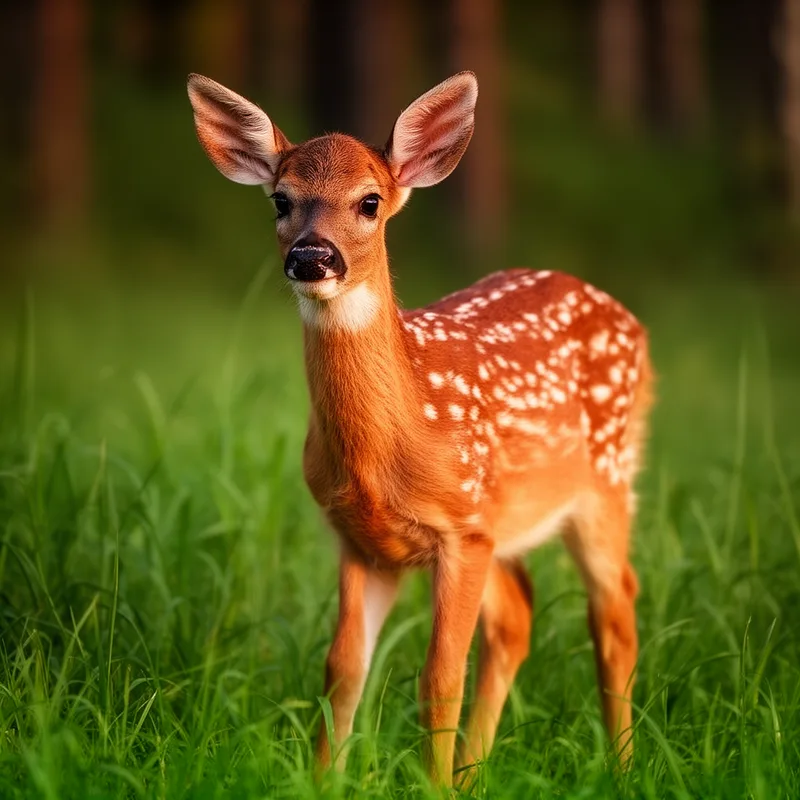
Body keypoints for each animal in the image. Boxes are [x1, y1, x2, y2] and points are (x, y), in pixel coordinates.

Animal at [187, 70, 653, 786]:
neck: (388, 451)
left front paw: (432, 787)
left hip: (604, 483)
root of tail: (633, 324)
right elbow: (342, 671)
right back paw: (475, 773)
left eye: (370, 202)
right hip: (506, 525)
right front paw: (325, 780)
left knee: (616, 608)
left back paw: (621, 768)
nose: (312, 257)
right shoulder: (362, 540)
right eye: (280, 201)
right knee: (517, 618)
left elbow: (438, 678)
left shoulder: (460, 531)